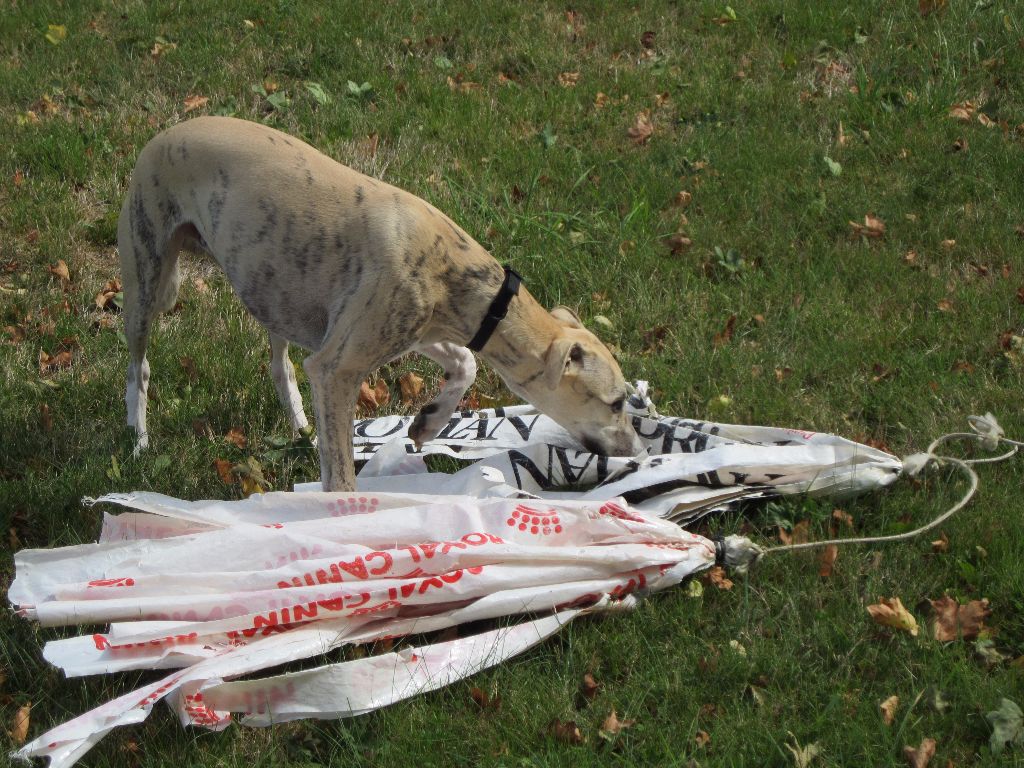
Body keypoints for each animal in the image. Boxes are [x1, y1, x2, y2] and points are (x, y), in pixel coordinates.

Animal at [117, 118, 638, 493]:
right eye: (615, 402)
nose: (635, 449)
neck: (451, 264)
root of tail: (162, 135)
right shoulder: (338, 367)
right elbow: (342, 480)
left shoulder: (419, 331)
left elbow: (466, 362)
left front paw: (429, 422)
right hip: (145, 278)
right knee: (139, 367)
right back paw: (138, 439)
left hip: (273, 288)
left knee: (280, 367)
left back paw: (301, 426)